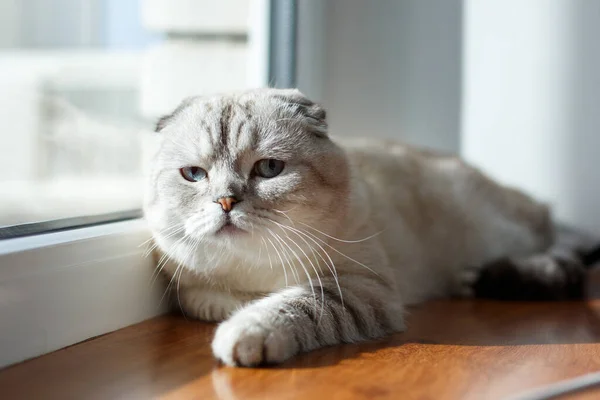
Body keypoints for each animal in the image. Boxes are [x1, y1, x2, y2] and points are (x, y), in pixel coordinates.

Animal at [143, 87, 596, 366]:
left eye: (269, 169)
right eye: (194, 175)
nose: (225, 202)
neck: (254, 274)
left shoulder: (359, 288)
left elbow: (289, 306)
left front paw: (244, 336)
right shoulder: (198, 294)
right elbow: (224, 303)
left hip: (501, 229)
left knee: (558, 248)